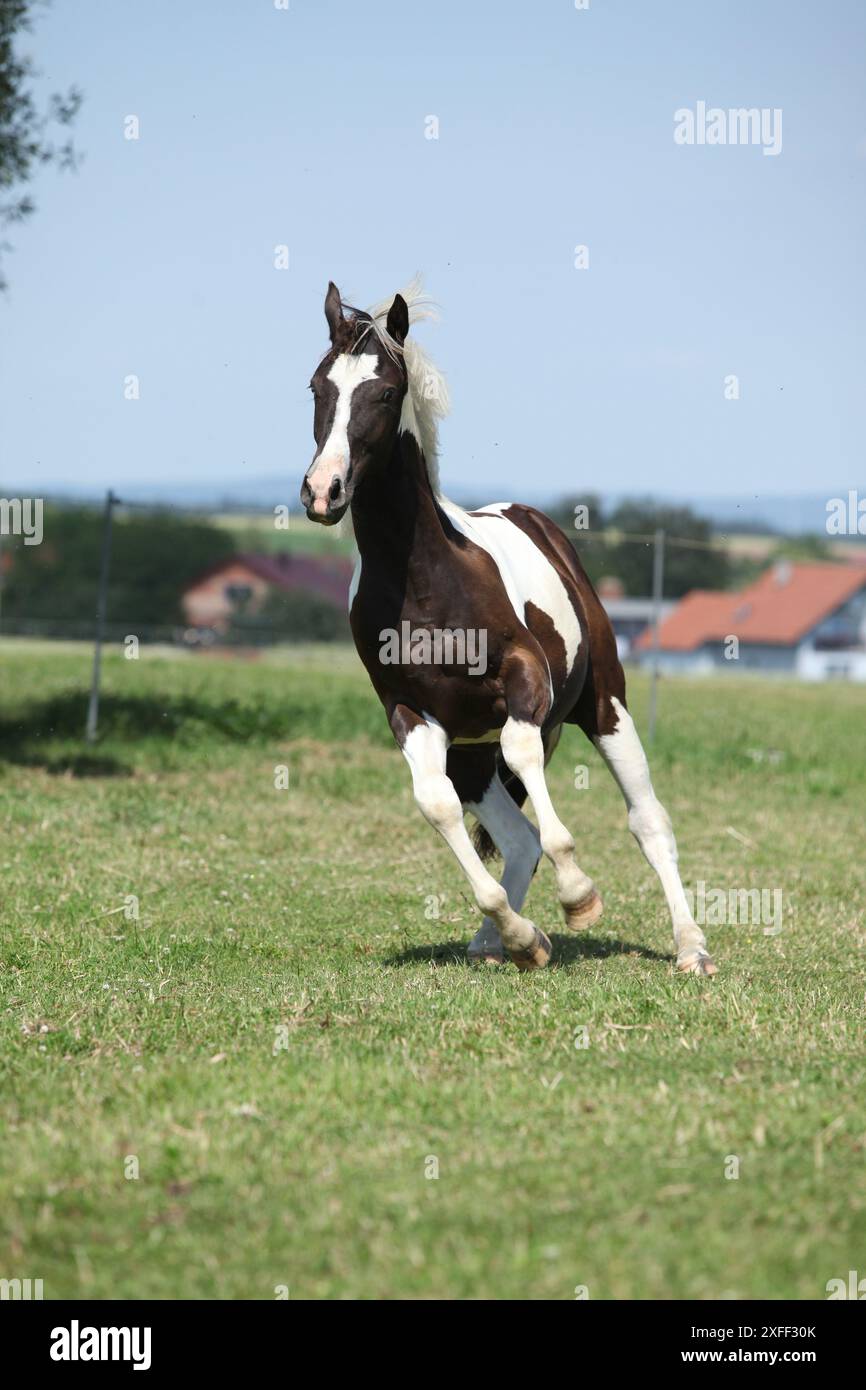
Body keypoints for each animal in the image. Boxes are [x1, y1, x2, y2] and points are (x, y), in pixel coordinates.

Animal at [300, 279, 716, 977]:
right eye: (316, 388)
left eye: (384, 392)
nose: (323, 492)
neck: (425, 579)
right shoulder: (409, 711)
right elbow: (436, 804)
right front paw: (520, 932)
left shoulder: (525, 681)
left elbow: (528, 760)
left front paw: (579, 897)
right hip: (472, 750)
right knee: (517, 837)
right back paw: (506, 942)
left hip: (605, 707)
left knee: (648, 821)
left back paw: (692, 948)